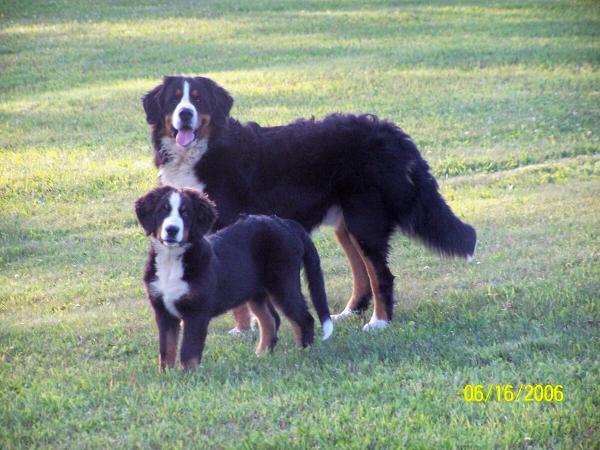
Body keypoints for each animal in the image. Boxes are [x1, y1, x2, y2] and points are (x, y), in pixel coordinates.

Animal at [135, 185, 332, 370]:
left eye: (186, 213)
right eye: (163, 210)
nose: (171, 230)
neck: (171, 260)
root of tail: (287, 223)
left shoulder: (196, 311)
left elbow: (188, 350)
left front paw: (188, 375)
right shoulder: (163, 310)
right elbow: (166, 348)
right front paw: (166, 374)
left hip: (283, 284)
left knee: (304, 319)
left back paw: (303, 353)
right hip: (255, 291)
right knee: (271, 320)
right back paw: (262, 355)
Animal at [143, 75, 476, 332]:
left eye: (197, 100)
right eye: (175, 100)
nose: (186, 114)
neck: (205, 150)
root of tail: (392, 132)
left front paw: (242, 328)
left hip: (365, 219)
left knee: (380, 275)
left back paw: (379, 322)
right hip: (347, 224)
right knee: (362, 273)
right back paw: (348, 313)